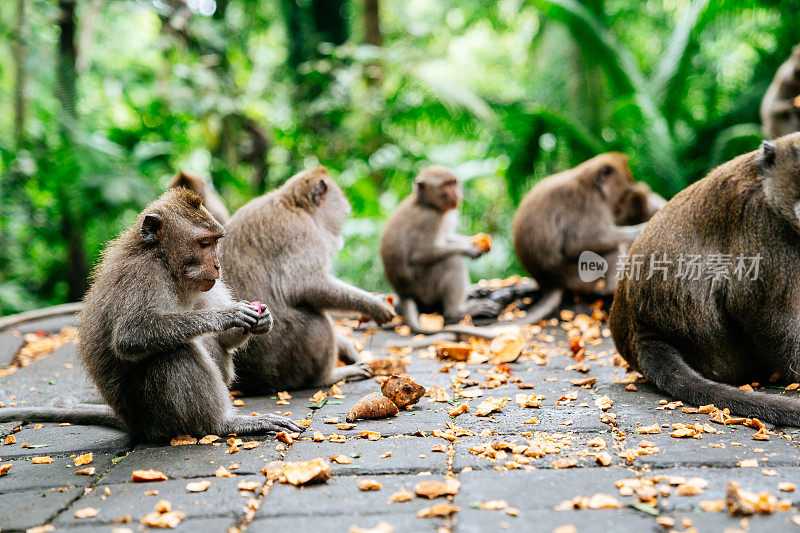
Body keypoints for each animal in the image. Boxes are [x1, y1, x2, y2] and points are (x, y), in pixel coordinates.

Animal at [0, 187, 300, 440]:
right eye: (204, 244)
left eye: (216, 242)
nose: (217, 265)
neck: (165, 262)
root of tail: (135, 425)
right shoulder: (142, 275)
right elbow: (131, 337)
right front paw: (228, 314)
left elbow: (222, 339)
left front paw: (261, 319)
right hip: (156, 415)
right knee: (175, 352)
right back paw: (222, 424)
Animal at [220, 166, 396, 394]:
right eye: (342, 216)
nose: (341, 237)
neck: (294, 205)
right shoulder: (301, 233)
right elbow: (306, 286)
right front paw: (374, 305)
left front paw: (346, 346)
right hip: (288, 360)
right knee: (316, 319)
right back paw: (329, 376)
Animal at [380, 164, 500, 334]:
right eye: (445, 185)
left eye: (453, 183)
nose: (456, 194)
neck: (426, 204)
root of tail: (405, 293)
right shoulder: (429, 219)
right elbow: (419, 254)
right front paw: (468, 249)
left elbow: (447, 238)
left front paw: (475, 243)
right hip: (426, 289)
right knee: (451, 261)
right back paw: (458, 311)